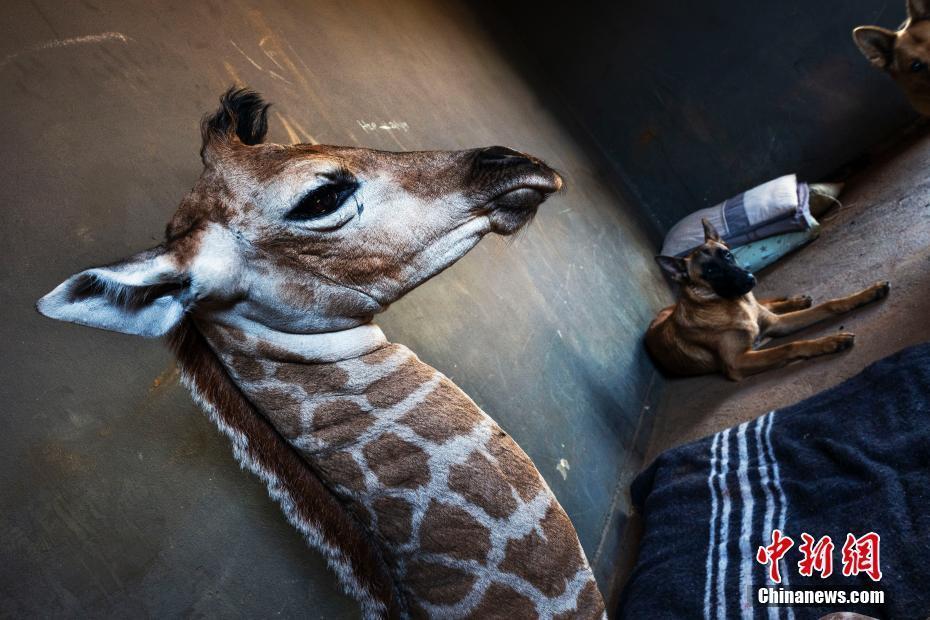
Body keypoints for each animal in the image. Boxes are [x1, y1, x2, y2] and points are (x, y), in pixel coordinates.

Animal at [640, 220, 888, 380]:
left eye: (727, 255)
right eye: (710, 271)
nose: (750, 279)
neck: (733, 305)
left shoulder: (777, 323)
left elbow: (829, 305)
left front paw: (868, 293)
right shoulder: (737, 362)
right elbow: (790, 346)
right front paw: (831, 341)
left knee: (768, 304)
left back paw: (796, 300)